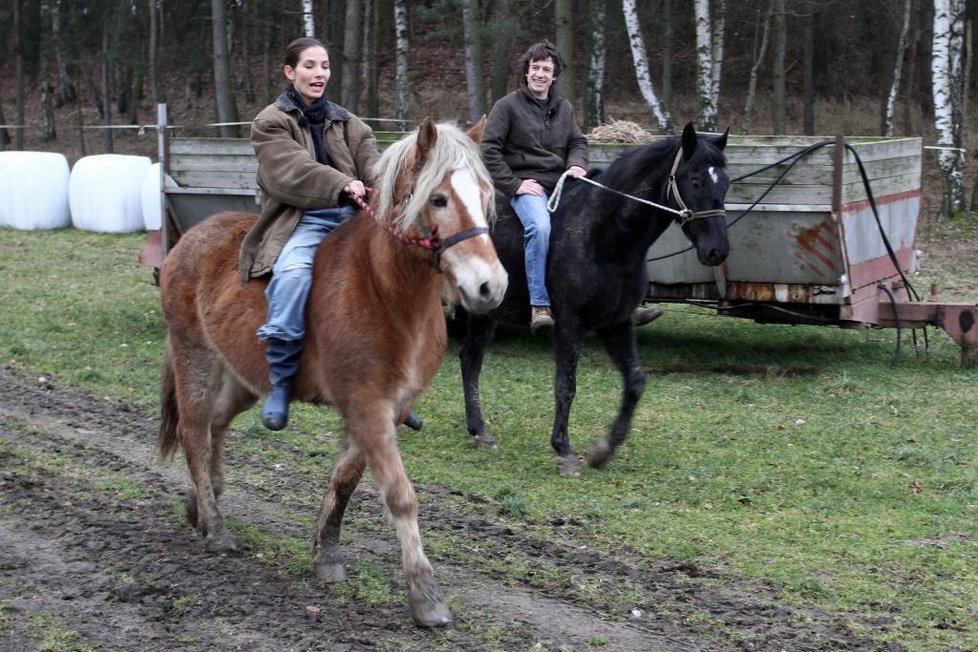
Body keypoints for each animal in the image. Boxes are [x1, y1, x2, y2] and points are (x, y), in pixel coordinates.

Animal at [156, 118, 508, 628]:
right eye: (439, 199)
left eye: (484, 196)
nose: (490, 286)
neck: (385, 292)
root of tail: (189, 239)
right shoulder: (366, 406)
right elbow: (400, 494)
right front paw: (425, 595)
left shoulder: (386, 410)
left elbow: (344, 481)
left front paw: (326, 555)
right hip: (194, 356)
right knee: (194, 433)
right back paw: (216, 527)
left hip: (242, 376)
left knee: (216, 426)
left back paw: (203, 504)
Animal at [462, 123, 728, 474]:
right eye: (695, 181)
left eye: (725, 183)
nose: (718, 250)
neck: (603, 236)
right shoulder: (569, 324)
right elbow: (566, 384)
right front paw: (564, 450)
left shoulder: (617, 323)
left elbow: (635, 381)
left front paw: (603, 449)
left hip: (484, 313)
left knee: (470, 360)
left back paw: (479, 431)